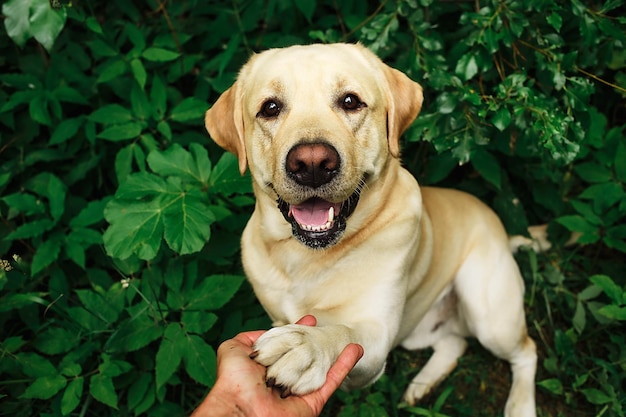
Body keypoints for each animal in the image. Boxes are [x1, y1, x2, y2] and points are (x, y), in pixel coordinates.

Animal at [206, 43, 536, 416]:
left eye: (350, 101)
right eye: (270, 108)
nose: (312, 164)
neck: (306, 259)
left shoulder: (376, 339)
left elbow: (344, 332)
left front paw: (306, 347)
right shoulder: (276, 315)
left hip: (489, 314)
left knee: (526, 351)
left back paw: (521, 405)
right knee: (454, 344)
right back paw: (420, 386)